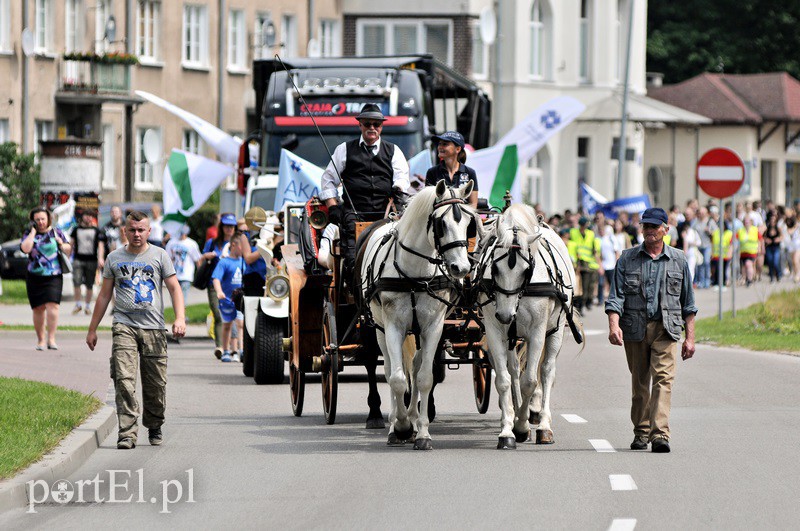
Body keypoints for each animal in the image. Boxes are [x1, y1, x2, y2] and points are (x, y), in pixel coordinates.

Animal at [360, 181, 478, 450]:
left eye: (469, 222)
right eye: (441, 223)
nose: (461, 268)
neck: (414, 275)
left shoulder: (433, 327)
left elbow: (424, 377)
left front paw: (421, 431)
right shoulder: (393, 326)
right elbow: (396, 379)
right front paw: (401, 426)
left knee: (414, 367)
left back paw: (414, 416)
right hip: (379, 328)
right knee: (387, 369)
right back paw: (391, 420)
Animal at [476, 204, 580, 448]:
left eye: (526, 270)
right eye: (495, 269)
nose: (505, 315)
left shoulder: (537, 332)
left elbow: (530, 381)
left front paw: (523, 426)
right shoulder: (495, 331)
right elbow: (504, 380)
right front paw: (508, 430)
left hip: (555, 330)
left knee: (547, 371)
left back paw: (543, 426)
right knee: (514, 370)